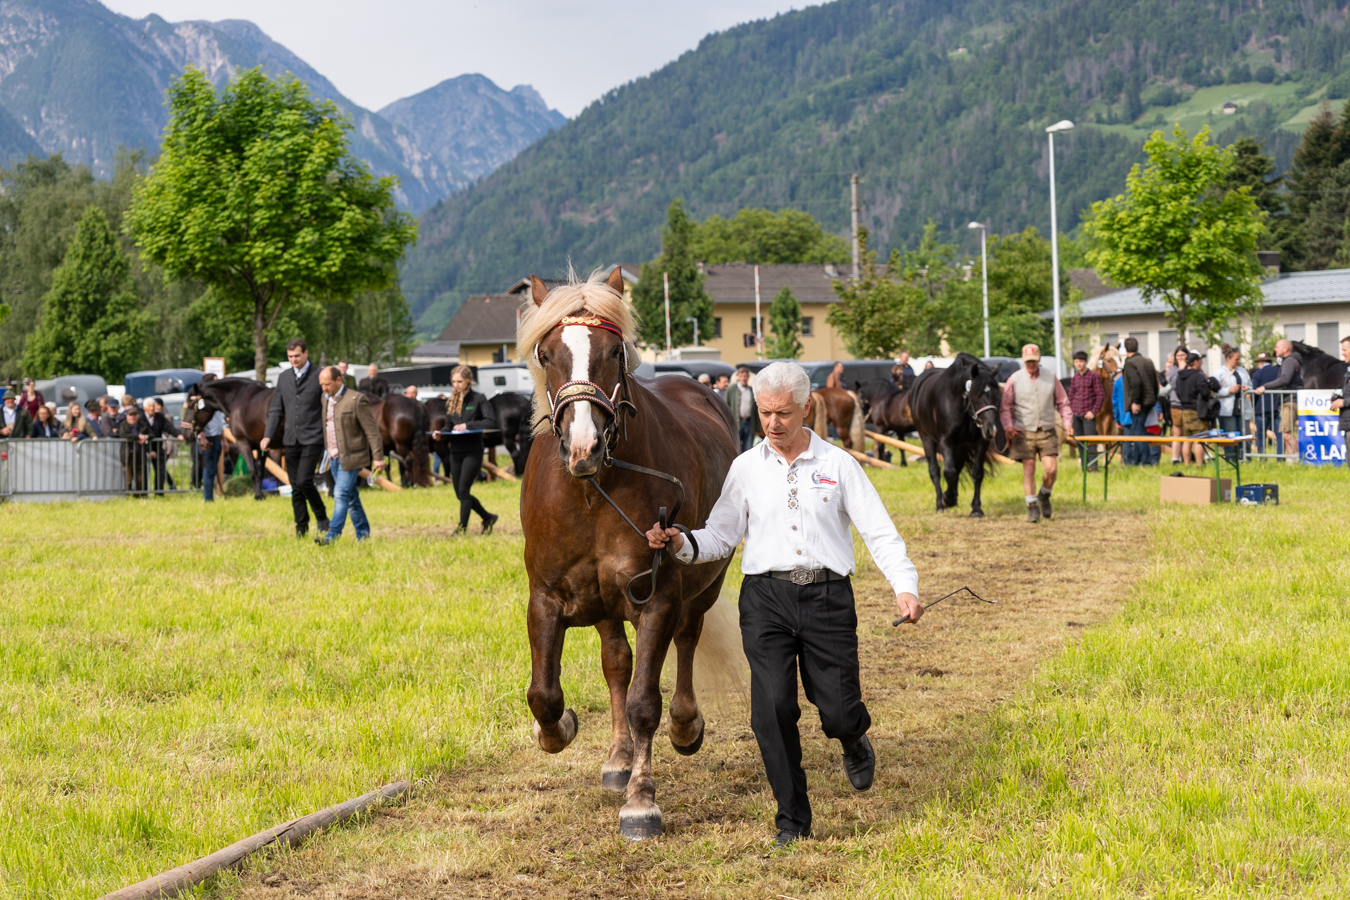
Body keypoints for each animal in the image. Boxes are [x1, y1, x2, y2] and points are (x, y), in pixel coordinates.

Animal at [518, 268, 742, 841]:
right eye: (546, 354)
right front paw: (560, 729)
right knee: (616, 664)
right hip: (605, 606)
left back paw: (685, 726)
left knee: (686, 642)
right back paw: (619, 759)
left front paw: (642, 802)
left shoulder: (657, 598)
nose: (584, 446)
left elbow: (646, 702)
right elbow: (544, 694)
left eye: (614, 351)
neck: (593, 492)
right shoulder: (546, 599)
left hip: (700, 588)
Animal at [909, 352, 1003, 517]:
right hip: (926, 437)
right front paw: (948, 499)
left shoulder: (980, 442)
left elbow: (977, 473)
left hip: (961, 446)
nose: (991, 430)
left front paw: (976, 509)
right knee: (935, 470)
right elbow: (949, 471)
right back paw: (941, 504)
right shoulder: (946, 441)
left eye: (996, 395)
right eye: (975, 395)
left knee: (957, 468)